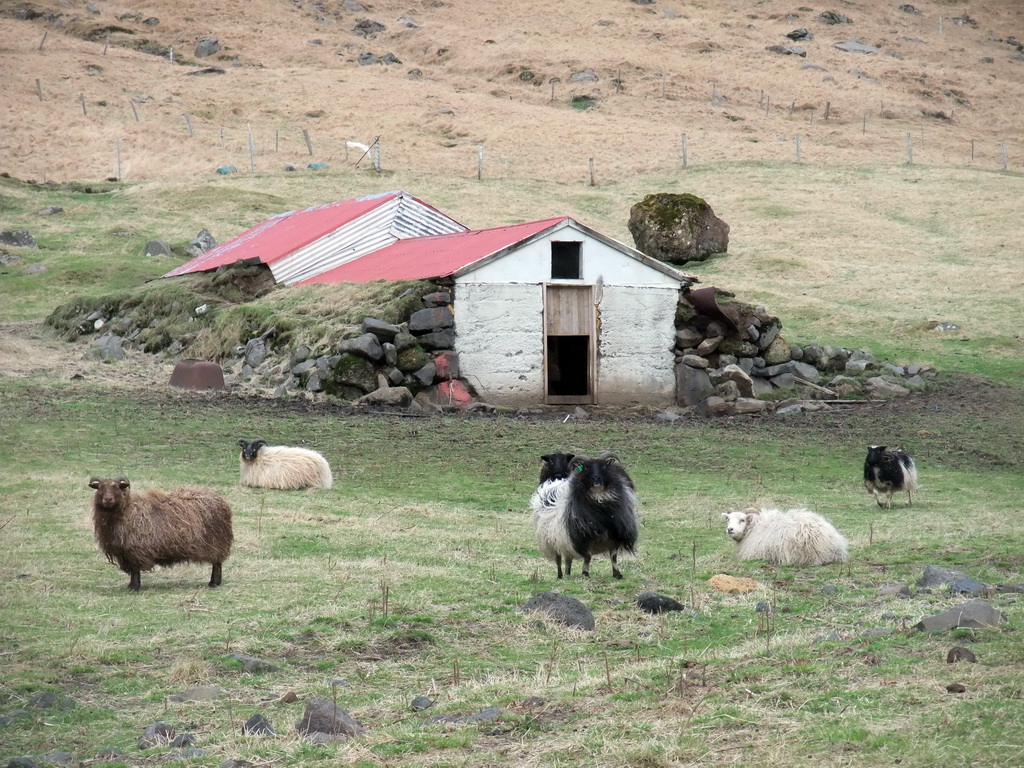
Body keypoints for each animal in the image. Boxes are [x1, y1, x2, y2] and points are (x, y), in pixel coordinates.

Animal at [88, 475, 234, 593]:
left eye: (117, 487)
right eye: (100, 487)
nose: (108, 499)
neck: (127, 509)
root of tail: (220, 500)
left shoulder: (135, 549)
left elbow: (135, 570)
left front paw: (134, 587)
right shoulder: (125, 551)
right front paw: (131, 586)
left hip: (217, 543)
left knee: (217, 564)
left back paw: (214, 583)